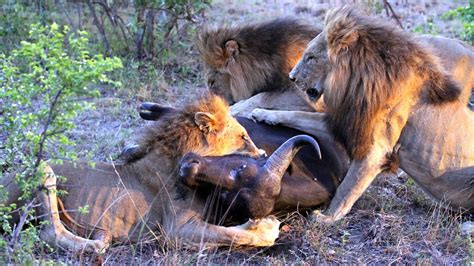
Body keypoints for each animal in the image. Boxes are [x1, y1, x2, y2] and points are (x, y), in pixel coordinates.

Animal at [1, 94, 280, 254]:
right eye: (244, 137)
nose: (263, 154)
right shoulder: (175, 230)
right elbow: (232, 233)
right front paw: (267, 229)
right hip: (43, 168)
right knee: (49, 233)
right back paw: (95, 245)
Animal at [250, 6, 472, 222]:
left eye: (311, 57)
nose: (292, 77)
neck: (359, 82)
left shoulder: (375, 149)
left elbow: (348, 186)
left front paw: (327, 218)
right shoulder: (348, 123)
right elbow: (297, 115)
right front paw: (262, 114)